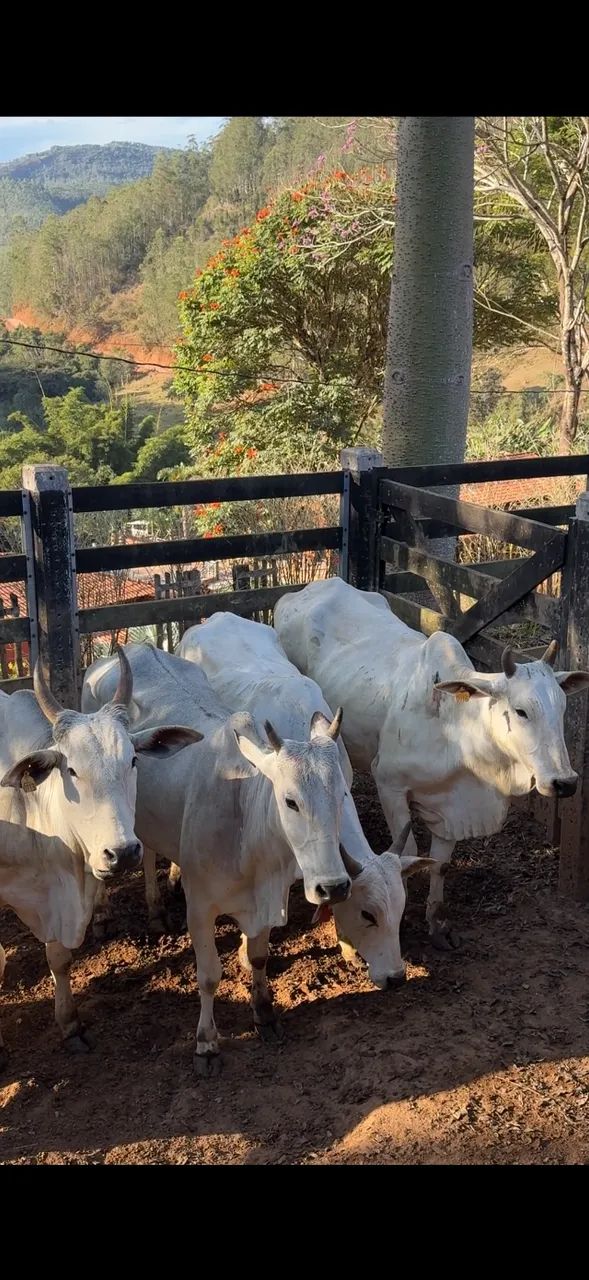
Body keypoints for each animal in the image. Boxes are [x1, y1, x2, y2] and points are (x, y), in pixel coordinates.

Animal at [83, 643, 433, 1073]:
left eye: (341, 798)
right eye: (290, 800)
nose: (397, 978)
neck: (244, 819)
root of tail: (138, 647)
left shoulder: (270, 894)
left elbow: (260, 955)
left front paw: (264, 1011)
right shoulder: (201, 908)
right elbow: (208, 975)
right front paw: (206, 1043)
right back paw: (123, 912)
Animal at [274, 577, 589, 948]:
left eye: (563, 708)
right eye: (521, 710)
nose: (565, 782)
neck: (457, 730)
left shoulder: (452, 806)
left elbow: (440, 864)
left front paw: (437, 923)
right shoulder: (390, 785)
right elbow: (407, 852)